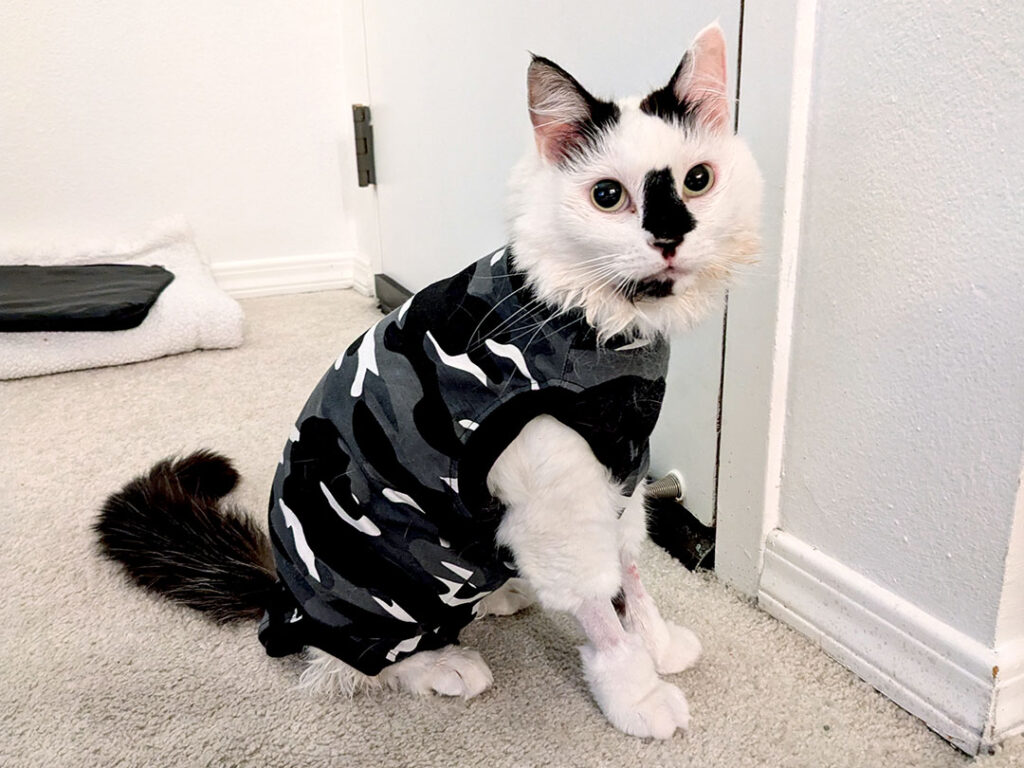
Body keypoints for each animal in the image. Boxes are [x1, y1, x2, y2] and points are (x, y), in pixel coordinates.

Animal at [94, 22, 761, 740]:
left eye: (698, 181)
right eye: (609, 196)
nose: (670, 236)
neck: (588, 323)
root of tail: (282, 593)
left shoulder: (621, 473)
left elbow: (632, 575)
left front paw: (658, 645)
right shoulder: (560, 511)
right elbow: (600, 608)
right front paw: (636, 692)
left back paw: (503, 595)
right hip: (388, 577)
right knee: (353, 660)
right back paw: (444, 664)